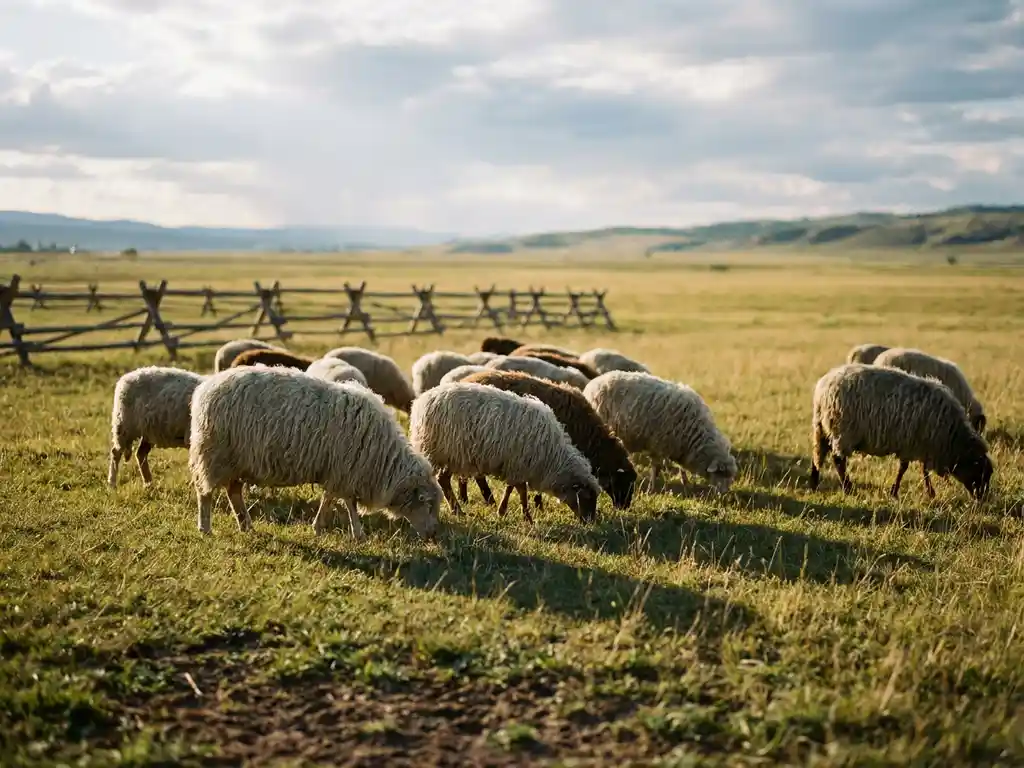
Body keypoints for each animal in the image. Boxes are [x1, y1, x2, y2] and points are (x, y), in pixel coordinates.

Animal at [188, 366, 443, 538]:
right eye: (428, 504)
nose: (433, 535)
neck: (384, 460)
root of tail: (205, 388)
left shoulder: (344, 472)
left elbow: (338, 500)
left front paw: (339, 530)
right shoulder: (344, 470)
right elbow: (341, 501)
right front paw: (346, 531)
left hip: (236, 461)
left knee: (233, 493)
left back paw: (246, 525)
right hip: (214, 453)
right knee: (205, 492)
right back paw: (205, 528)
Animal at [409, 382, 601, 523]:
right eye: (587, 497)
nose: (590, 522)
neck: (552, 456)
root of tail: (422, 400)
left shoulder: (515, 465)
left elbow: (512, 488)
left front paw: (504, 511)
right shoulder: (518, 464)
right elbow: (521, 491)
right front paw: (526, 517)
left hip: (453, 455)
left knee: (444, 479)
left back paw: (457, 510)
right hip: (448, 451)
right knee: (442, 479)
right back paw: (457, 510)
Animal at [458, 370, 636, 514]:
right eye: (623, 482)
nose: (624, 507)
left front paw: (538, 505)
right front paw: (538, 505)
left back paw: (465, 498)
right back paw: (486, 499)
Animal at [583, 371, 737, 494]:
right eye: (721, 473)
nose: (725, 493)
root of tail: (592, 383)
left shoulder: (678, 447)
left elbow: (680, 468)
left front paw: (685, 483)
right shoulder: (658, 444)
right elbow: (656, 468)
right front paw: (651, 489)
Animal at [809, 363, 993, 500]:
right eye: (981, 472)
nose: (981, 499)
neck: (951, 438)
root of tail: (823, 387)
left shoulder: (923, 445)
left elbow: (922, 470)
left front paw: (928, 492)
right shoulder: (913, 444)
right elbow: (905, 468)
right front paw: (896, 492)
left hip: (822, 427)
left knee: (818, 454)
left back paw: (814, 484)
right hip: (843, 430)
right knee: (838, 460)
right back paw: (847, 488)